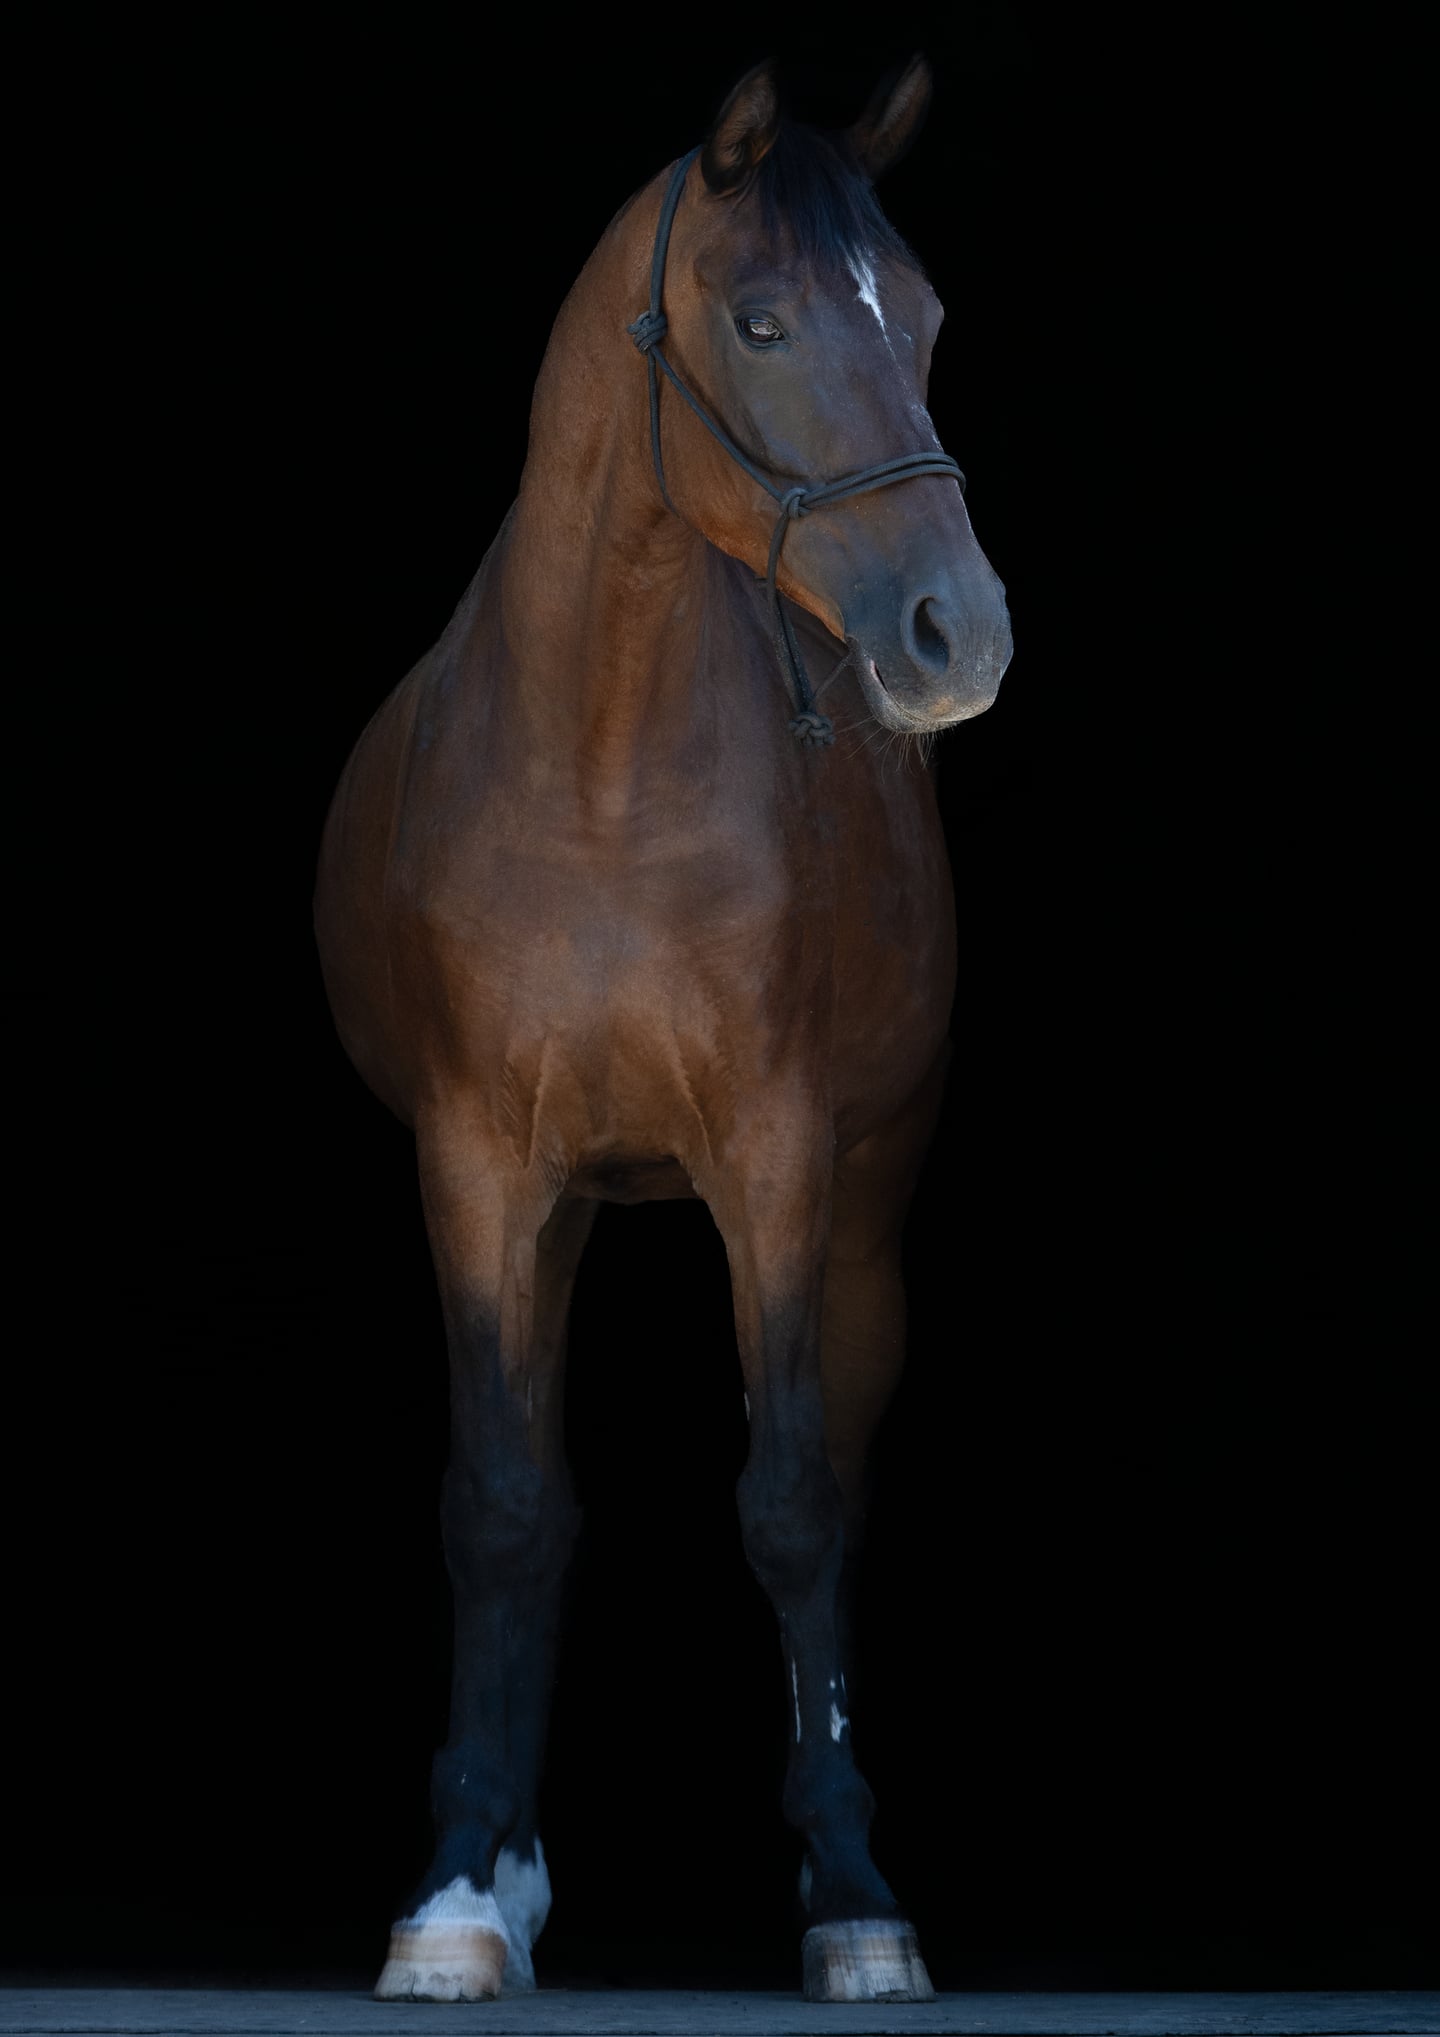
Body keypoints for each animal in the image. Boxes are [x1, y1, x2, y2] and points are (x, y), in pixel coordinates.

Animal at [314, 55, 1012, 2004]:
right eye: (761, 318)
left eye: (924, 316)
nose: (961, 634)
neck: (601, 777)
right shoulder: (480, 1166)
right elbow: (501, 1507)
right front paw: (457, 1891)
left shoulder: (773, 1166)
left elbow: (789, 1505)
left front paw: (855, 1895)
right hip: (550, 1210)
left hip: (859, 1229)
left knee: (835, 1478)